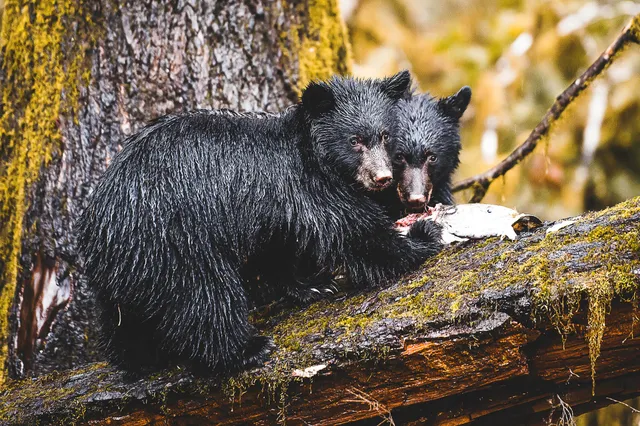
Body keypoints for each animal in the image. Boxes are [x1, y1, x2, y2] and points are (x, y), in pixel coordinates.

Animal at [77, 71, 444, 377]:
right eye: (355, 140)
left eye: (385, 136)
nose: (381, 178)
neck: (311, 151)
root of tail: (99, 229)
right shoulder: (305, 184)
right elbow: (353, 230)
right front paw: (422, 235)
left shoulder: (273, 211)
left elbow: (279, 247)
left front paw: (312, 284)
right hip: (174, 239)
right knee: (205, 296)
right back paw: (245, 349)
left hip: (132, 268)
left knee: (126, 319)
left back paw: (136, 355)